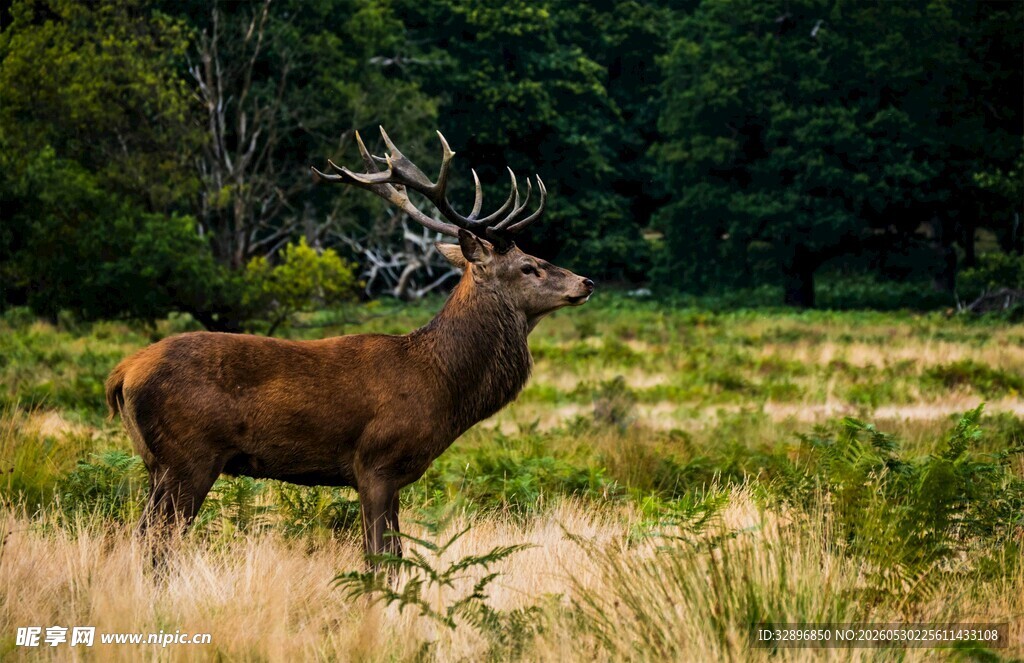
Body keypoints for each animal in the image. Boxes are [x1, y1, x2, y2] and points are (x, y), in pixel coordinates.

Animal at [105, 128, 594, 560]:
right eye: (529, 266)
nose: (586, 281)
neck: (441, 384)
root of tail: (121, 374)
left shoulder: (393, 475)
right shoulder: (375, 462)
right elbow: (380, 557)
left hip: (157, 463)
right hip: (188, 456)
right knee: (156, 544)